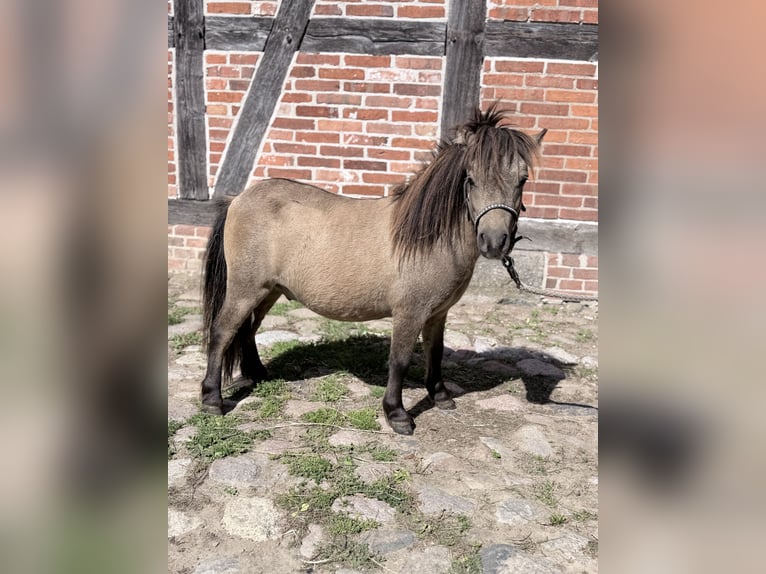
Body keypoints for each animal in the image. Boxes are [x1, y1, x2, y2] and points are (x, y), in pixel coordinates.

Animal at [199, 105, 546, 435]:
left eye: (522, 180)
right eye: (470, 179)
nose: (494, 242)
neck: (426, 238)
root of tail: (238, 199)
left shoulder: (437, 314)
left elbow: (434, 352)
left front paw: (440, 396)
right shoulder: (409, 312)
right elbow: (400, 360)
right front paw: (397, 414)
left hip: (268, 291)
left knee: (247, 330)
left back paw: (258, 374)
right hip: (245, 289)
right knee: (222, 332)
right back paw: (212, 400)